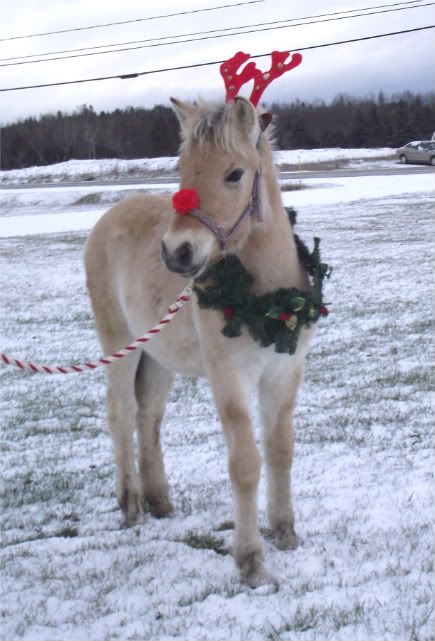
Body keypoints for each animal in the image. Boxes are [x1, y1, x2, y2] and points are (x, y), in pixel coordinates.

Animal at [84, 94, 316, 592]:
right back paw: (131, 505)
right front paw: (250, 561)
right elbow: (245, 463)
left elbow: (281, 450)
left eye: (234, 174)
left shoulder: (284, 373)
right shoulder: (229, 378)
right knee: (121, 414)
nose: (178, 252)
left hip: (159, 357)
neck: (268, 299)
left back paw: (159, 501)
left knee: (149, 415)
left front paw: (285, 533)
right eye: (184, 168)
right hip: (120, 345)